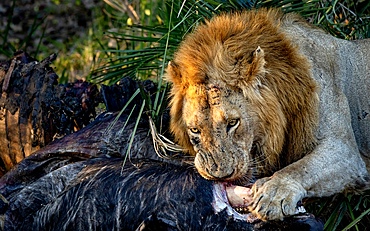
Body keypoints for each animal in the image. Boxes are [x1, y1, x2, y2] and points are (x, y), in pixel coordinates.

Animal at [165, 8, 370, 221]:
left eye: (233, 122)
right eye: (195, 130)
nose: (220, 175)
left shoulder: (346, 151)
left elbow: (301, 168)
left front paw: (273, 194)